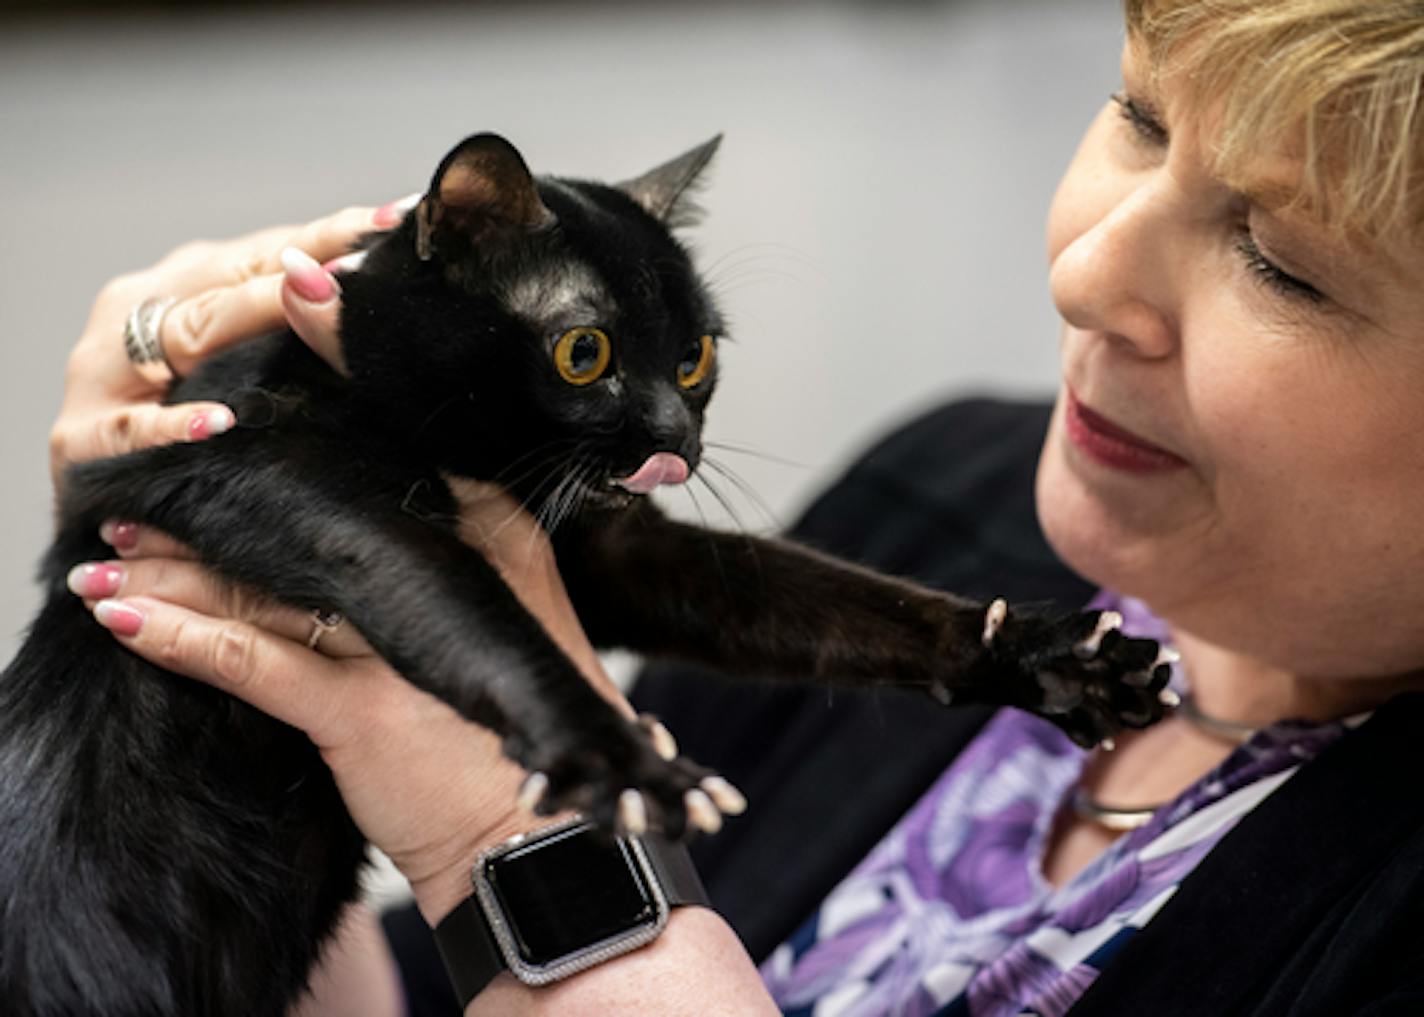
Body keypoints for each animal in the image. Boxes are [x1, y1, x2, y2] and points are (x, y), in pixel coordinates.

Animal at [0, 136, 1167, 1014]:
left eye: (695, 358)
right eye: (583, 354)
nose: (675, 440)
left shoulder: (613, 553)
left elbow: (838, 603)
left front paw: (1045, 658)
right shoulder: (248, 469)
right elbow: (449, 591)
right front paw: (622, 758)